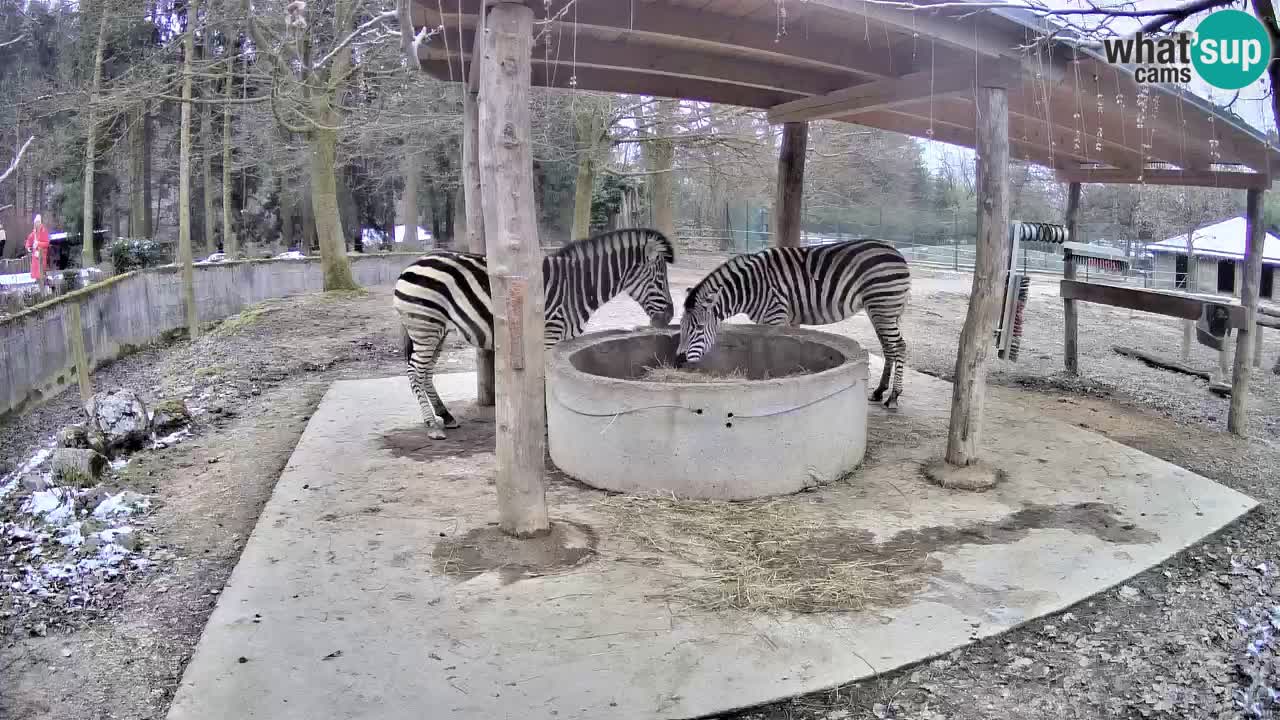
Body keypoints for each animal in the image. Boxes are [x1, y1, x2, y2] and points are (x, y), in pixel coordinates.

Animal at [389, 226, 675, 435]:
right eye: (660, 281)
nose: (670, 317)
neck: (577, 287)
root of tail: (412, 264)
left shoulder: (563, 339)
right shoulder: (549, 334)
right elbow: (545, 379)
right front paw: (545, 423)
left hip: (437, 330)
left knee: (426, 373)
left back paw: (446, 416)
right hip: (425, 326)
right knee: (415, 371)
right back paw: (432, 426)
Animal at [675, 235, 916, 404]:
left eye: (698, 328)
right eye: (682, 327)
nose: (678, 360)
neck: (750, 287)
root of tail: (896, 252)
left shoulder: (775, 315)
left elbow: (772, 348)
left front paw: (770, 379)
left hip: (883, 304)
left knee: (900, 346)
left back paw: (893, 396)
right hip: (881, 309)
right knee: (889, 347)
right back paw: (879, 391)